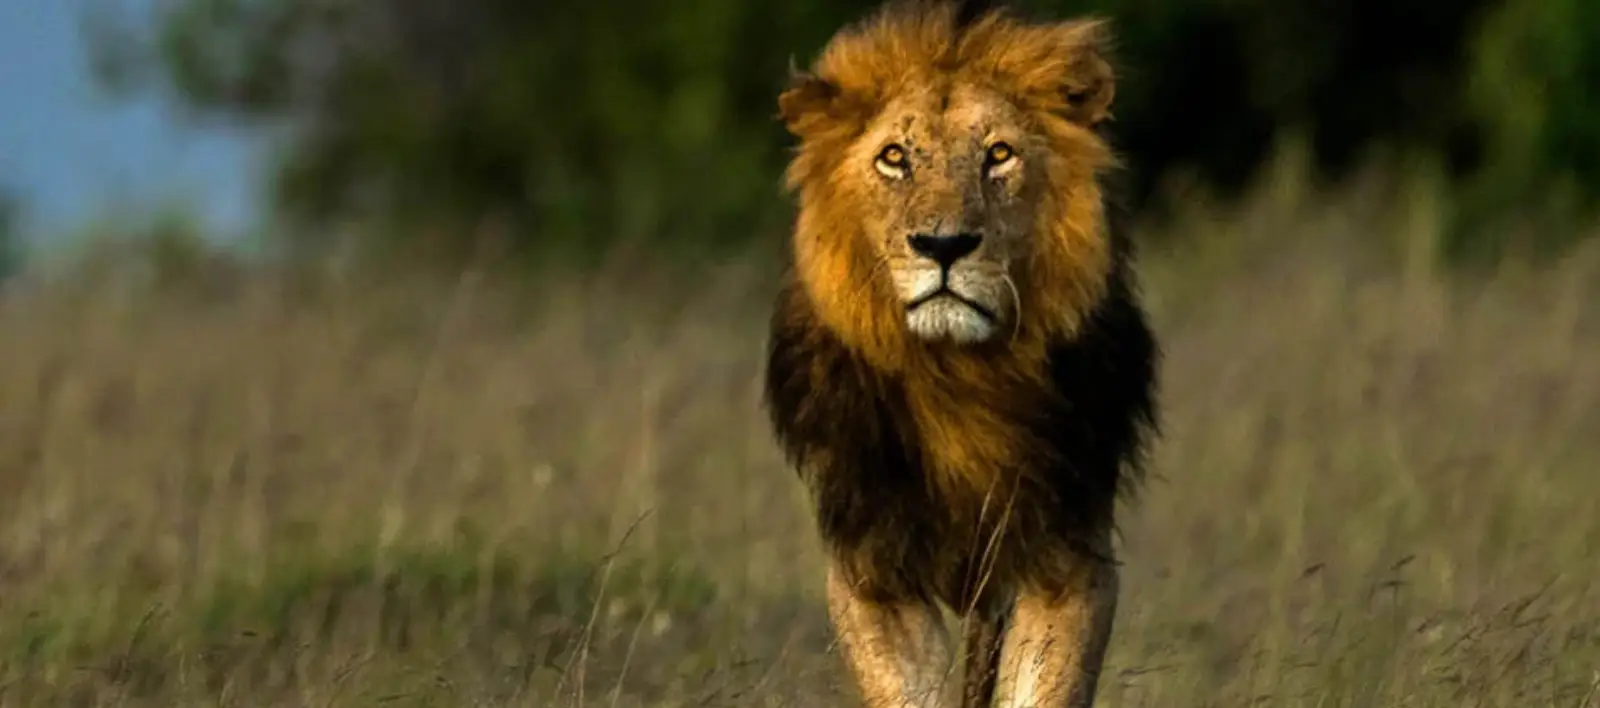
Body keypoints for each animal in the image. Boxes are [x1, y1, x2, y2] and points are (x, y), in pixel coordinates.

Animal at [760, 1, 1159, 706]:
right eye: (895, 158)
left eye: (998, 155)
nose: (943, 245)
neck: (958, 376)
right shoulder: (872, 572)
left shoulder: (1068, 558)